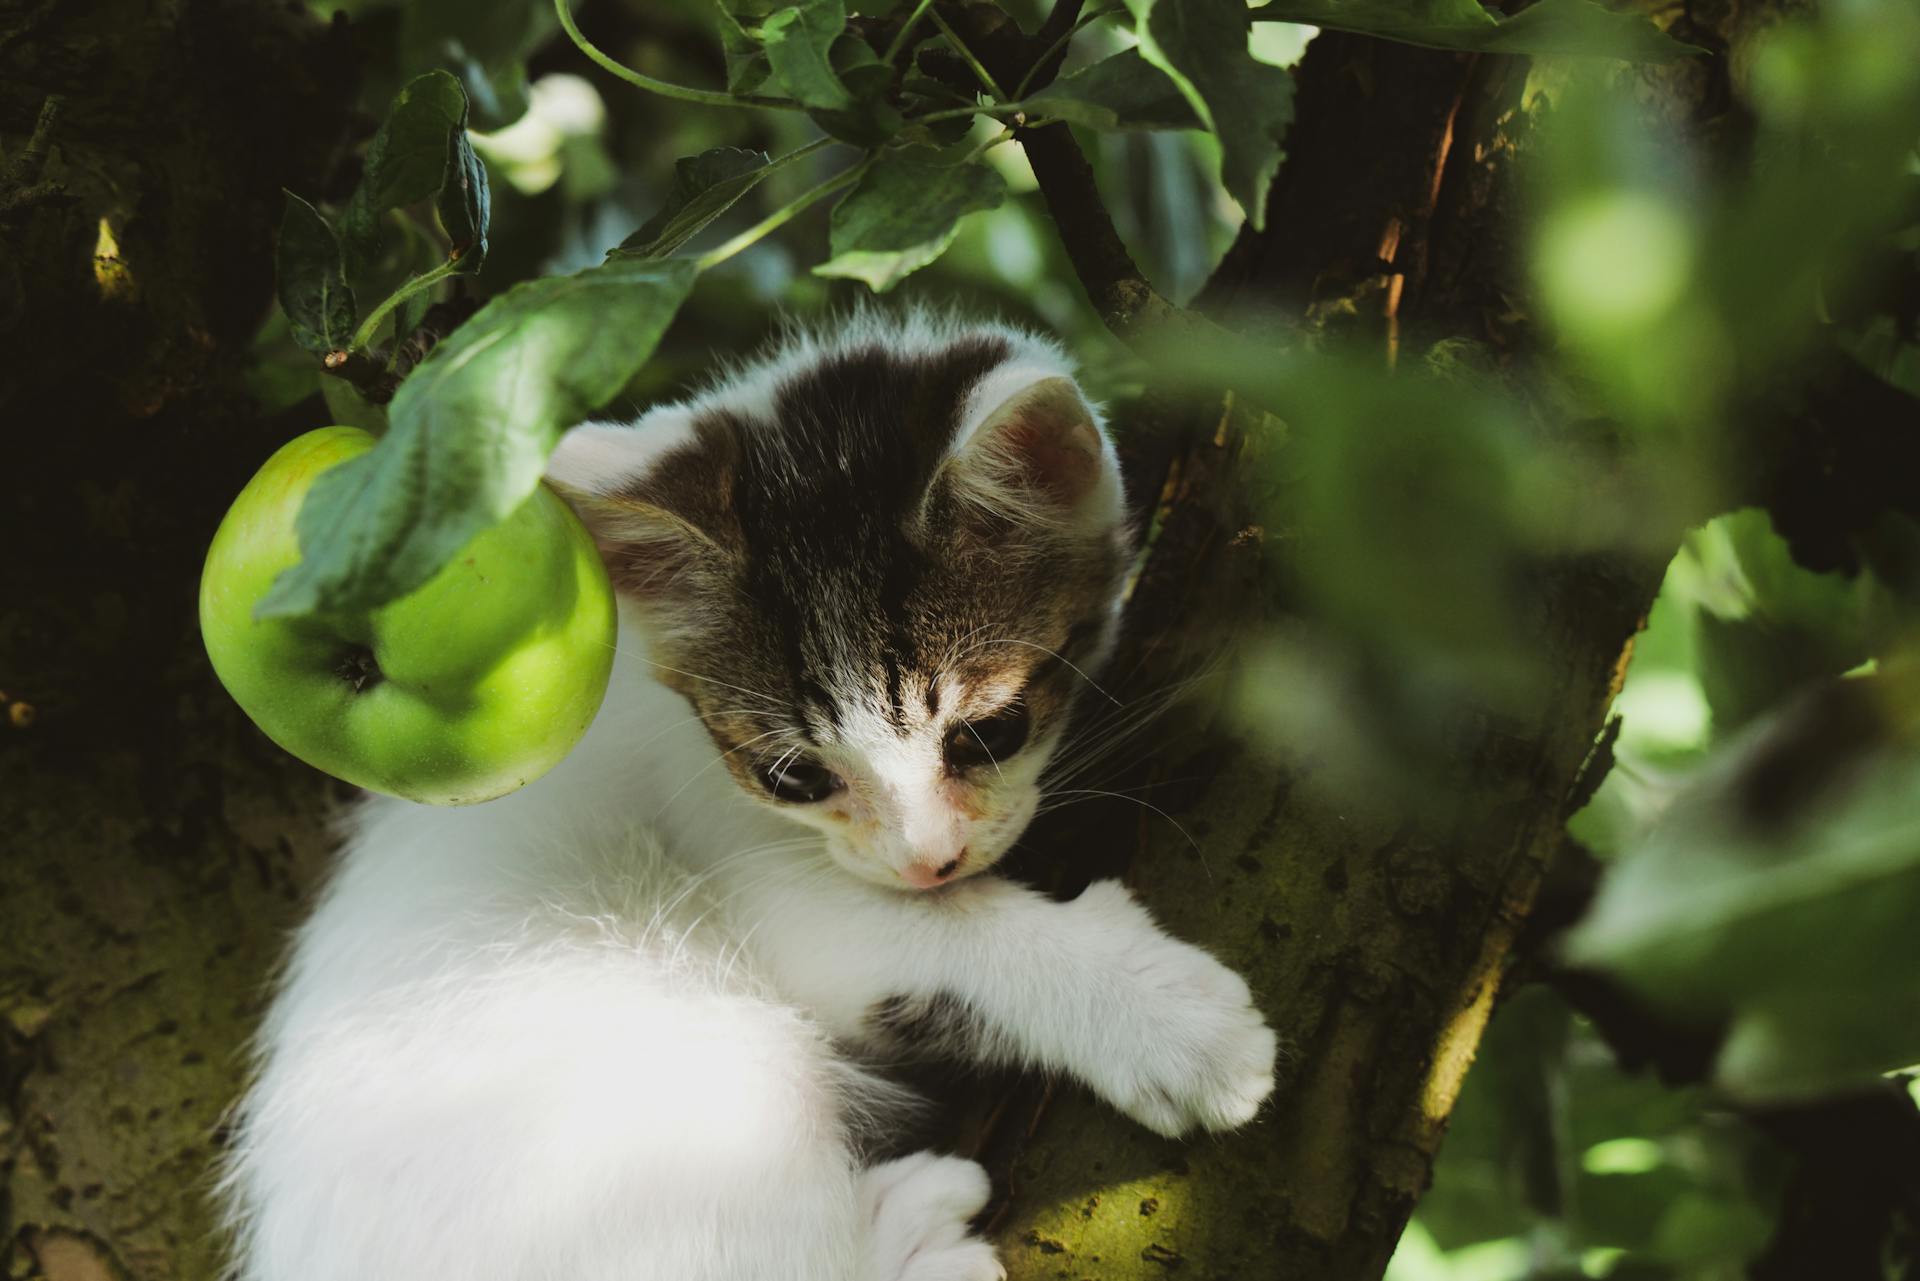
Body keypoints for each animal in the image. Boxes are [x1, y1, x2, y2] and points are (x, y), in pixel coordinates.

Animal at [220, 313, 1274, 1281]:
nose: (928, 860)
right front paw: (1176, 1025)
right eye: (793, 776)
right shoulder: (744, 855)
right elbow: (950, 934)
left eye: (991, 733)